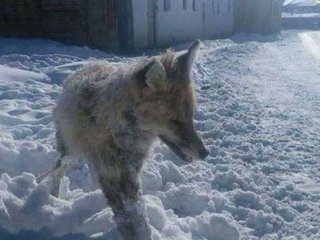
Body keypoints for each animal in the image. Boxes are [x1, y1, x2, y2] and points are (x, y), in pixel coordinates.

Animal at [50, 40, 208, 240]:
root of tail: (89, 65)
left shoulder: (131, 174)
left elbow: (139, 214)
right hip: (69, 152)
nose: (205, 153)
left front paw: (144, 233)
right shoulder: (109, 174)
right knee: (56, 170)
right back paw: (53, 198)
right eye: (174, 121)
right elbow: (124, 219)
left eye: (190, 116)